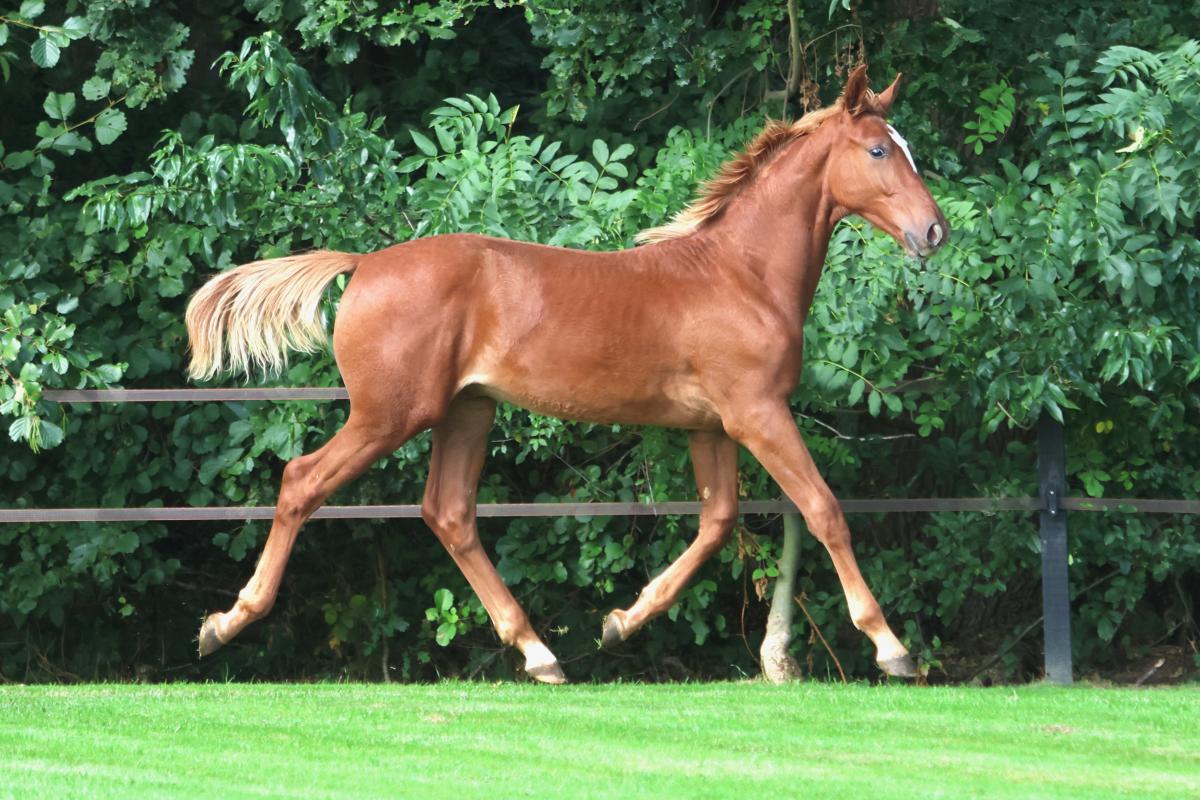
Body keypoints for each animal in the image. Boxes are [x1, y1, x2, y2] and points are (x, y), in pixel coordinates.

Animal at [186, 65, 948, 683]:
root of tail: (364, 263)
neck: (742, 274)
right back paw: (224, 624)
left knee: (449, 513)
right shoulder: (757, 413)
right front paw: (893, 648)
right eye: (879, 150)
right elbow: (823, 510)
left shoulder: (712, 426)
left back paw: (540, 654)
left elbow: (716, 523)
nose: (934, 232)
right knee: (302, 482)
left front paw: (620, 623)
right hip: (390, 414)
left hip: (467, 411)